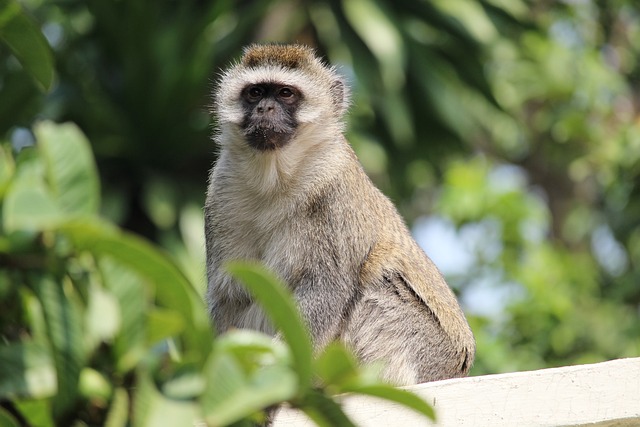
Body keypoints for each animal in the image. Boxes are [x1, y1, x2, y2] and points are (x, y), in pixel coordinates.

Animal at [205, 42, 476, 384]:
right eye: (254, 93)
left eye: (285, 93)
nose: (264, 109)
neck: (274, 177)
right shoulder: (220, 191)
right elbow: (230, 293)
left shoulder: (334, 188)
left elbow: (325, 291)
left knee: (376, 285)